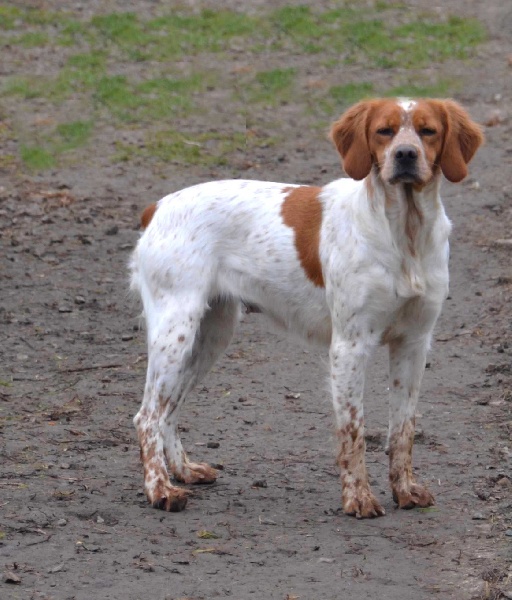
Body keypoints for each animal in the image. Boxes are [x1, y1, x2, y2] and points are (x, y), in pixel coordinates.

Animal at [130, 98, 483, 517]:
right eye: (384, 131)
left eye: (428, 131)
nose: (405, 155)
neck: (405, 235)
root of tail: (157, 207)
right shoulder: (349, 345)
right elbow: (353, 430)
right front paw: (358, 498)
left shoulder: (414, 343)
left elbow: (403, 428)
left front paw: (405, 490)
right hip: (176, 331)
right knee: (148, 416)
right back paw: (160, 490)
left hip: (210, 335)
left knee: (168, 411)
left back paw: (183, 471)